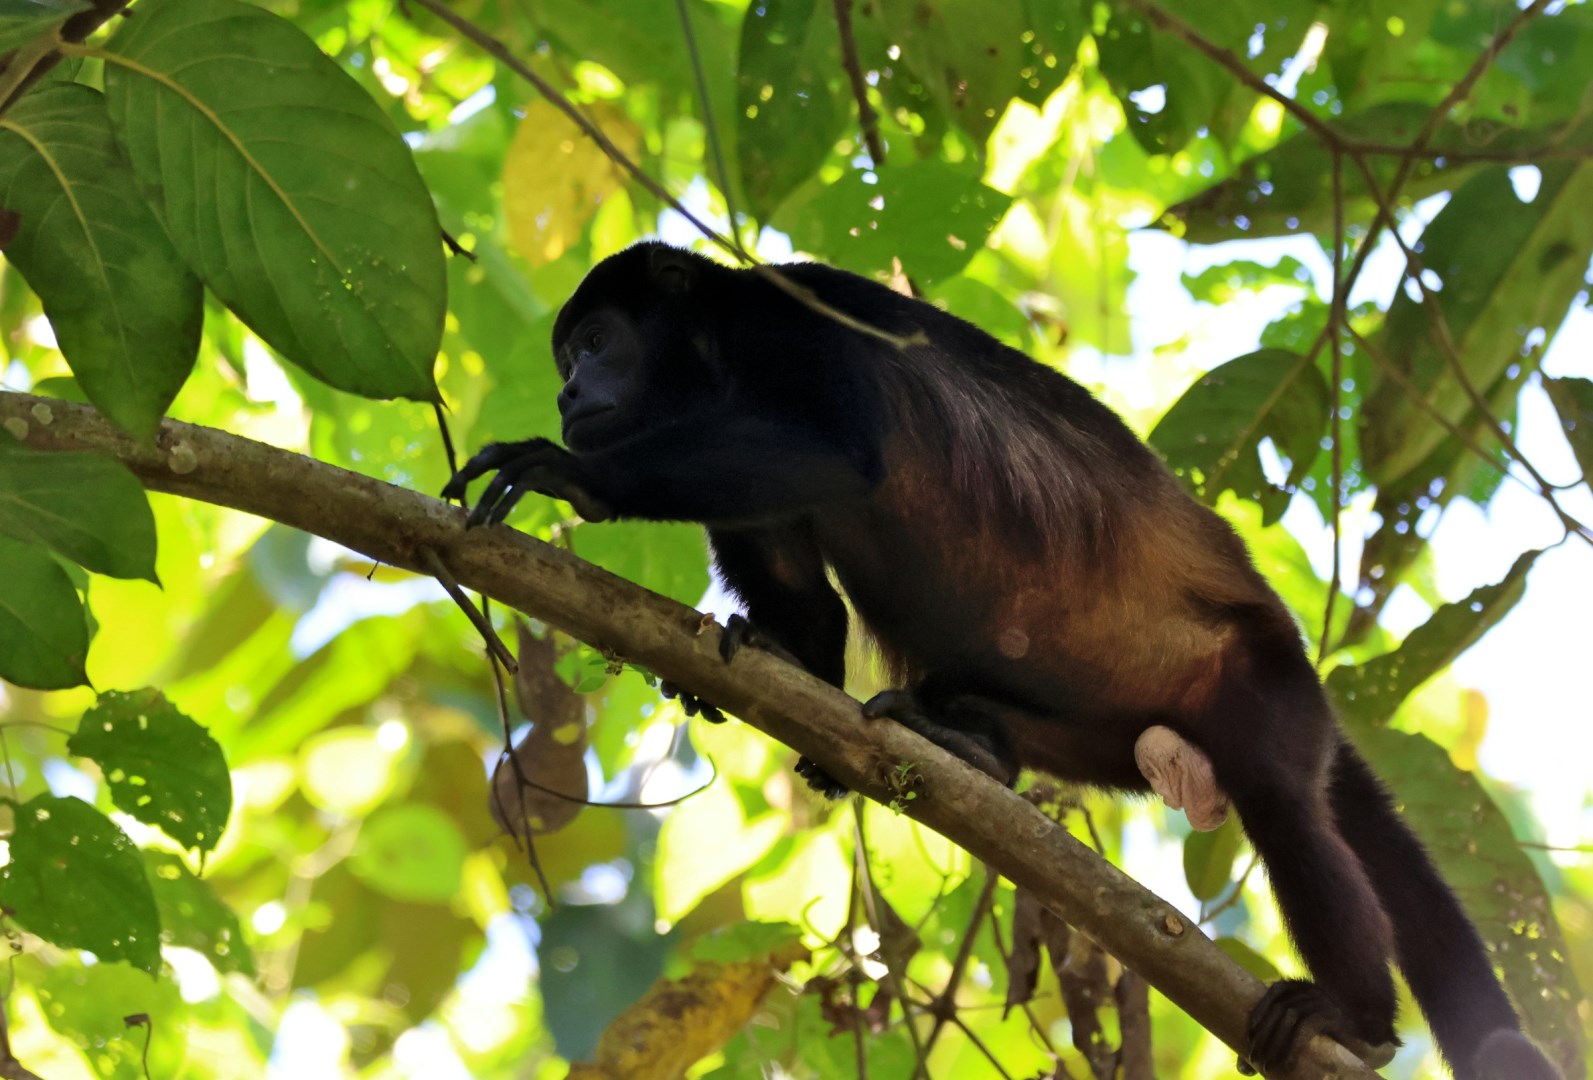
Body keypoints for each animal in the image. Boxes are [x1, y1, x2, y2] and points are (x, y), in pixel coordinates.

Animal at [441, 242, 1559, 1080]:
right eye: (567, 353)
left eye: (595, 341)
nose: (567, 390)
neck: (714, 353)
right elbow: (806, 605)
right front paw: (755, 654)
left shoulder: (791, 326)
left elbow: (837, 452)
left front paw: (571, 473)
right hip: (1112, 739)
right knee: (984, 706)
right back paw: (964, 746)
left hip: (1259, 682)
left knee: (1285, 805)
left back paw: (1353, 1019)